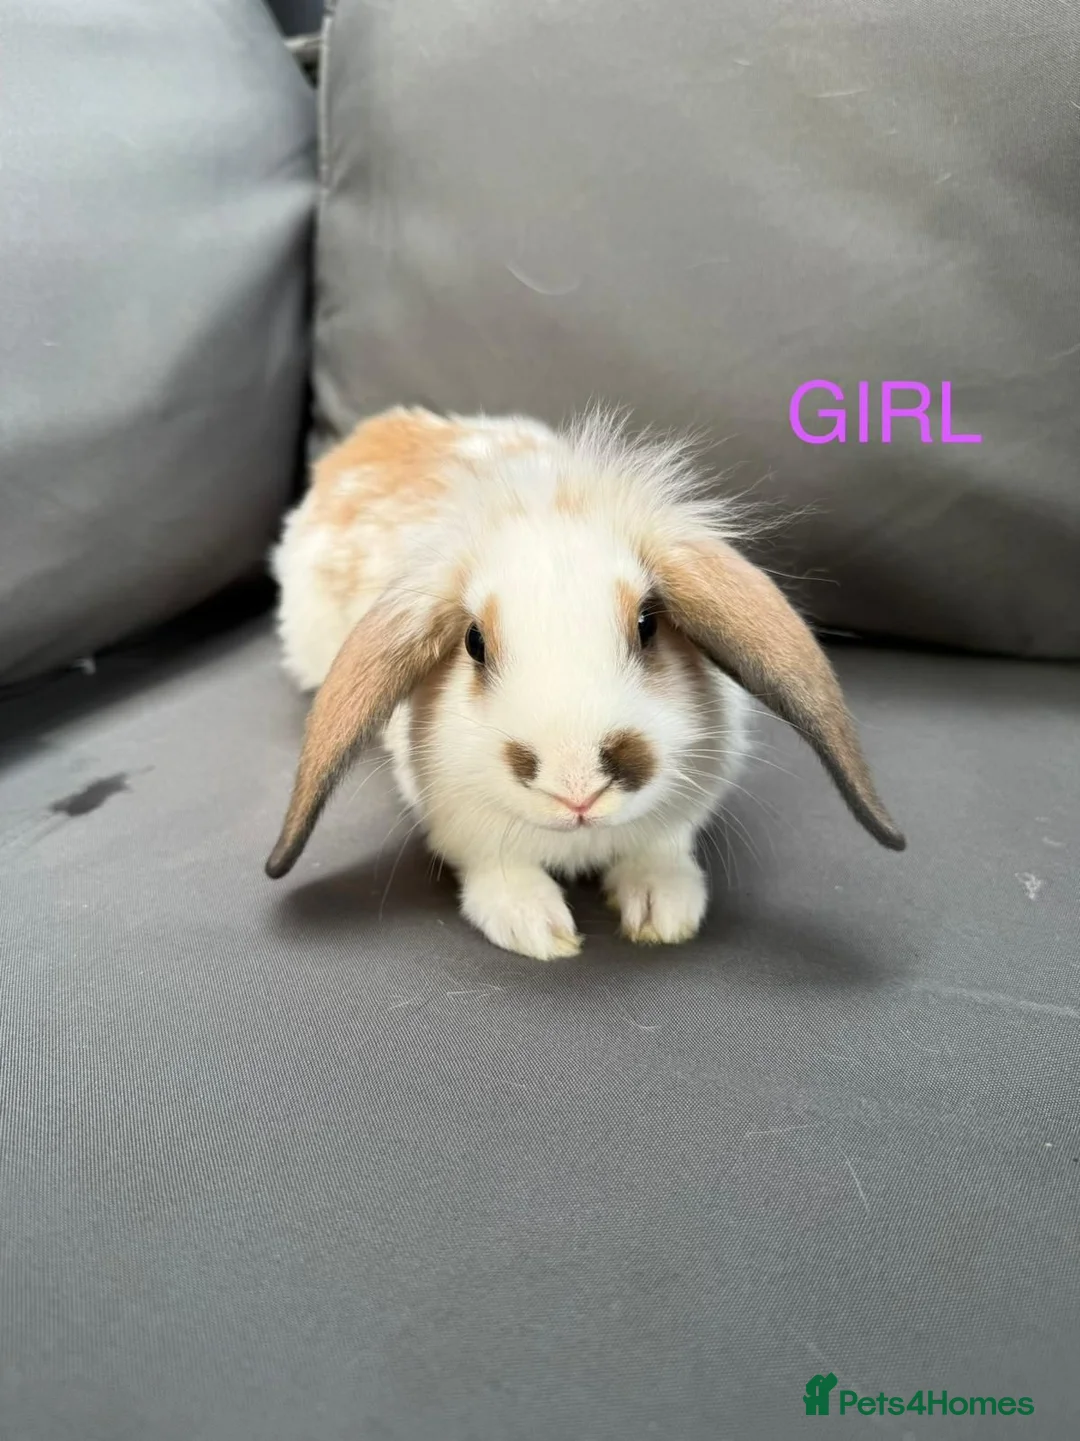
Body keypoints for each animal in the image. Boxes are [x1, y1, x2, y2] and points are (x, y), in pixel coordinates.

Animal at [265, 405, 905, 960]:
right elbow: (496, 870)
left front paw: (663, 908)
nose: (577, 788)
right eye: (474, 643)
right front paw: (534, 926)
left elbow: (661, 851)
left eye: (648, 624)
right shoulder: (463, 826)